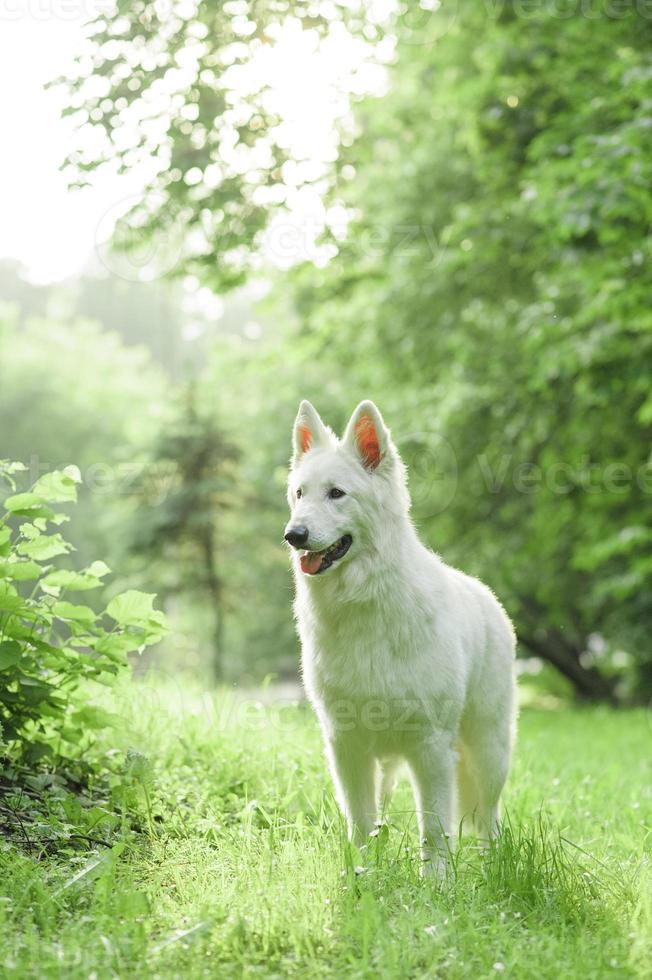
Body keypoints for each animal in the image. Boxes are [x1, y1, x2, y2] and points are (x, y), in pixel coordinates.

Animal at [284, 402, 516, 876]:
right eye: (300, 494)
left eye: (337, 494)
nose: (293, 535)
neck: (364, 603)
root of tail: (488, 596)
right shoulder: (346, 745)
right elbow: (359, 821)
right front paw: (361, 875)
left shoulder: (431, 748)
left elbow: (435, 829)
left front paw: (437, 883)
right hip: (391, 764)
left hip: (487, 750)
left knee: (488, 817)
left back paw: (490, 867)